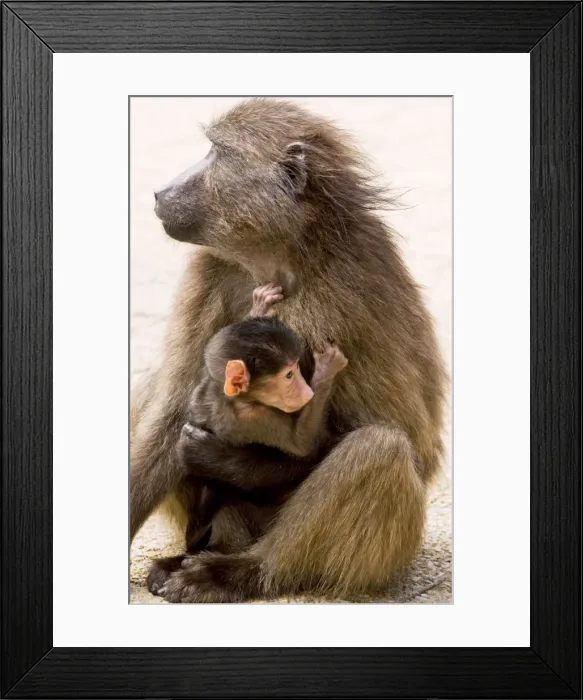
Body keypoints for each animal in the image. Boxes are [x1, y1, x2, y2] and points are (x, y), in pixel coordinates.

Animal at [131, 98, 448, 603]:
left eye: (217, 152)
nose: (160, 193)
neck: (281, 254)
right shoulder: (208, 270)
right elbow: (175, 407)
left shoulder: (339, 302)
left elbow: (406, 434)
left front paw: (229, 462)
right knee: (151, 389)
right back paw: (192, 557)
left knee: (381, 449)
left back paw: (238, 572)